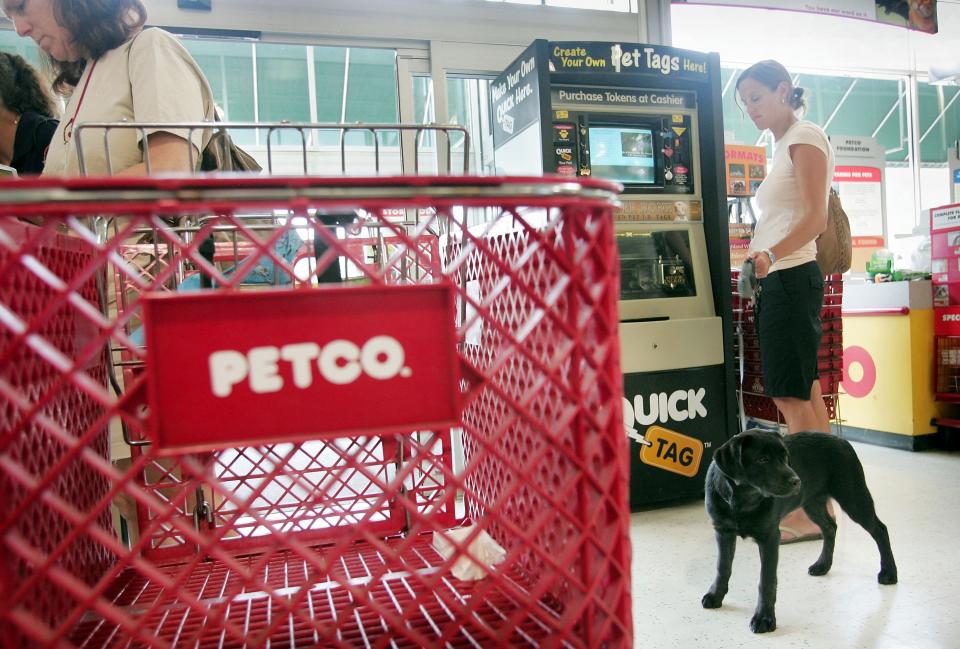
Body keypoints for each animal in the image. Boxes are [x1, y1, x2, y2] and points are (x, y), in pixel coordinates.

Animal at [700, 428, 896, 632]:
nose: (797, 481)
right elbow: (722, 567)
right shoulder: (723, 532)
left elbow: (766, 580)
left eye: (785, 457)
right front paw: (715, 595)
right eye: (762, 459)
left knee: (880, 529)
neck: (743, 501)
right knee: (830, 527)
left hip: (853, 498)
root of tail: (840, 439)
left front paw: (764, 617)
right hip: (812, 502)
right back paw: (822, 565)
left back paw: (889, 572)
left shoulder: (770, 537)